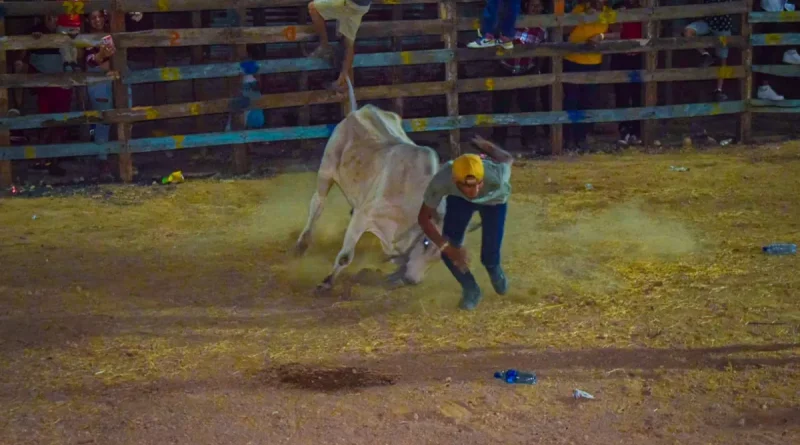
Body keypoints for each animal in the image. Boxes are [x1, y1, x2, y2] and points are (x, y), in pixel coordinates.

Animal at [294, 78, 446, 290]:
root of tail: (357, 111)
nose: (413, 280)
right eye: (425, 242)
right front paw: (326, 282)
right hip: (326, 170)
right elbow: (345, 257)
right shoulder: (363, 216)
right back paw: (303, 243)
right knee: (318, 203)